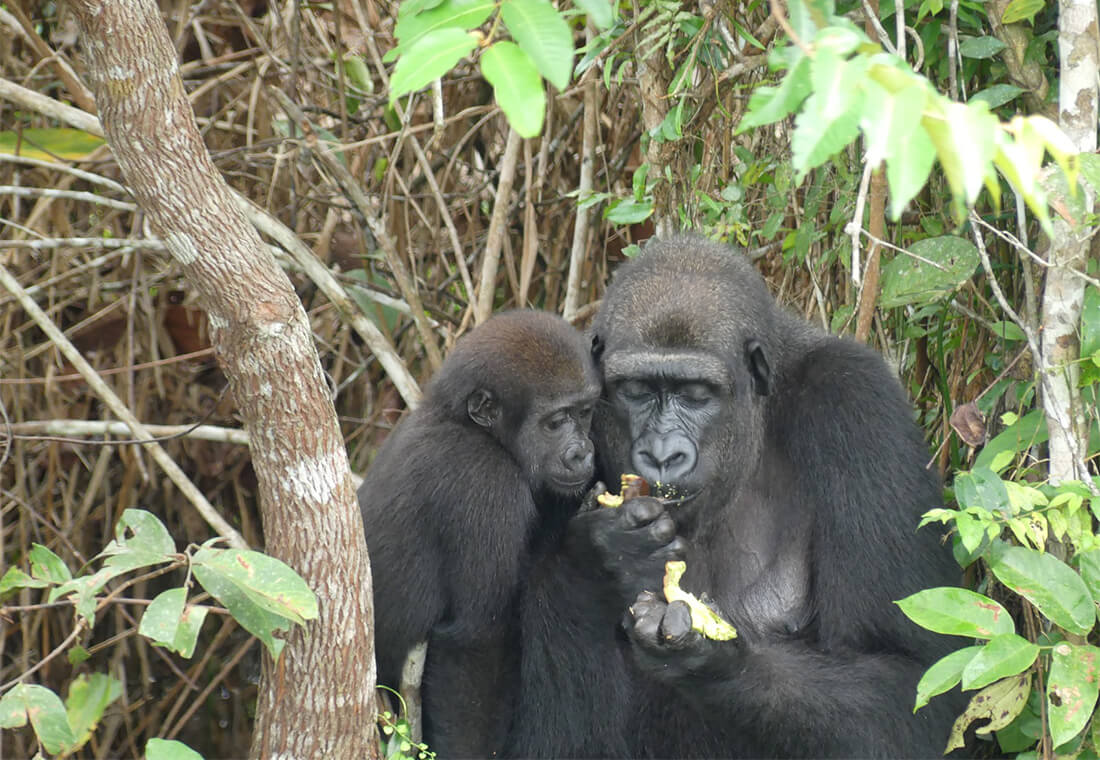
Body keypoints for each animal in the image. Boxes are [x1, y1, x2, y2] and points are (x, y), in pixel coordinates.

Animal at [358, 307, 602, 756]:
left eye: (585, 413)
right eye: (556, 422)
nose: (583, 453)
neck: (467, 425)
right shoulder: (487, 484)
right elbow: (476, 643)